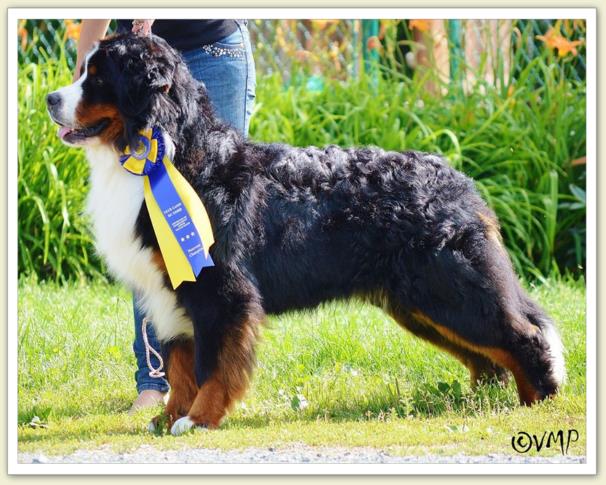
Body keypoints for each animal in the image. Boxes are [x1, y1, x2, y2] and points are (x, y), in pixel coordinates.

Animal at [45, 34, 568, 434]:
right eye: (84, 70)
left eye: (99, 77)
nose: (50, 98)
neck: (171, 155)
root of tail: (457, 178)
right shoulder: (172, 287)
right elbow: (179, 364)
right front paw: (170, 418)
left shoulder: (220, 289)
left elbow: (212, 365)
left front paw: (198, 420)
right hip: (420, 303)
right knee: (486, 354)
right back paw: (479, 401)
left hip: (448, 287)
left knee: (521, 335)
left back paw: (537, 402)